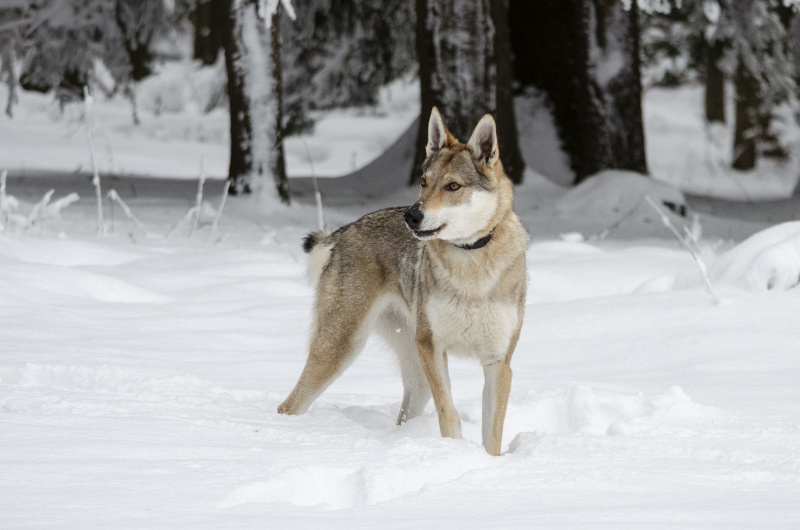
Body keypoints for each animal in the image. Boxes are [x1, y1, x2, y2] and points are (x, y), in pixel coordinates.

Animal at [278, 107, 528, 454]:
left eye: (452, 187)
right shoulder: (433, 347)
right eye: (424, 182)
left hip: (413, 374)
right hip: (340, 350)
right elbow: (449, 413)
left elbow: (492, 435)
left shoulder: (498, 363)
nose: (411, 216)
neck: (469, 263)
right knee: (288, 404)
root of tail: (344, 231)